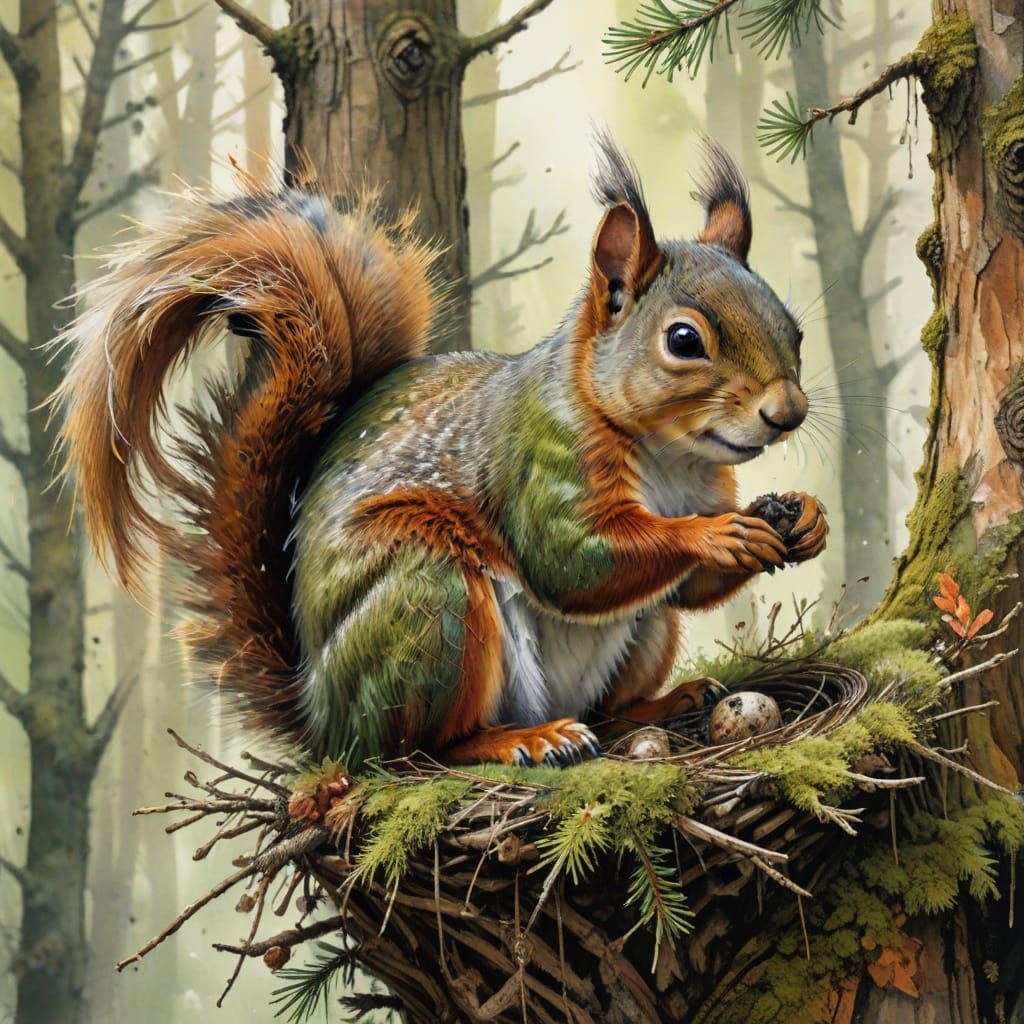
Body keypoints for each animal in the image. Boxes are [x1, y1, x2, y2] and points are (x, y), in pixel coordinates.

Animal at [56, 133, 827, 770]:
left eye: (794, 329)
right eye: (684, 340)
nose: (787, 413)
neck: (669, 456)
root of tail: (324, 719)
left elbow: (685, 590)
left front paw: (804, 517)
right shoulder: (536, 456)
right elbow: (573, 562)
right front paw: (714, 535)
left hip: (637, 633)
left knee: (611, 702)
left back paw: (663, 703)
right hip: (432, 599)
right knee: (421, 749)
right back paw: (520, 740)